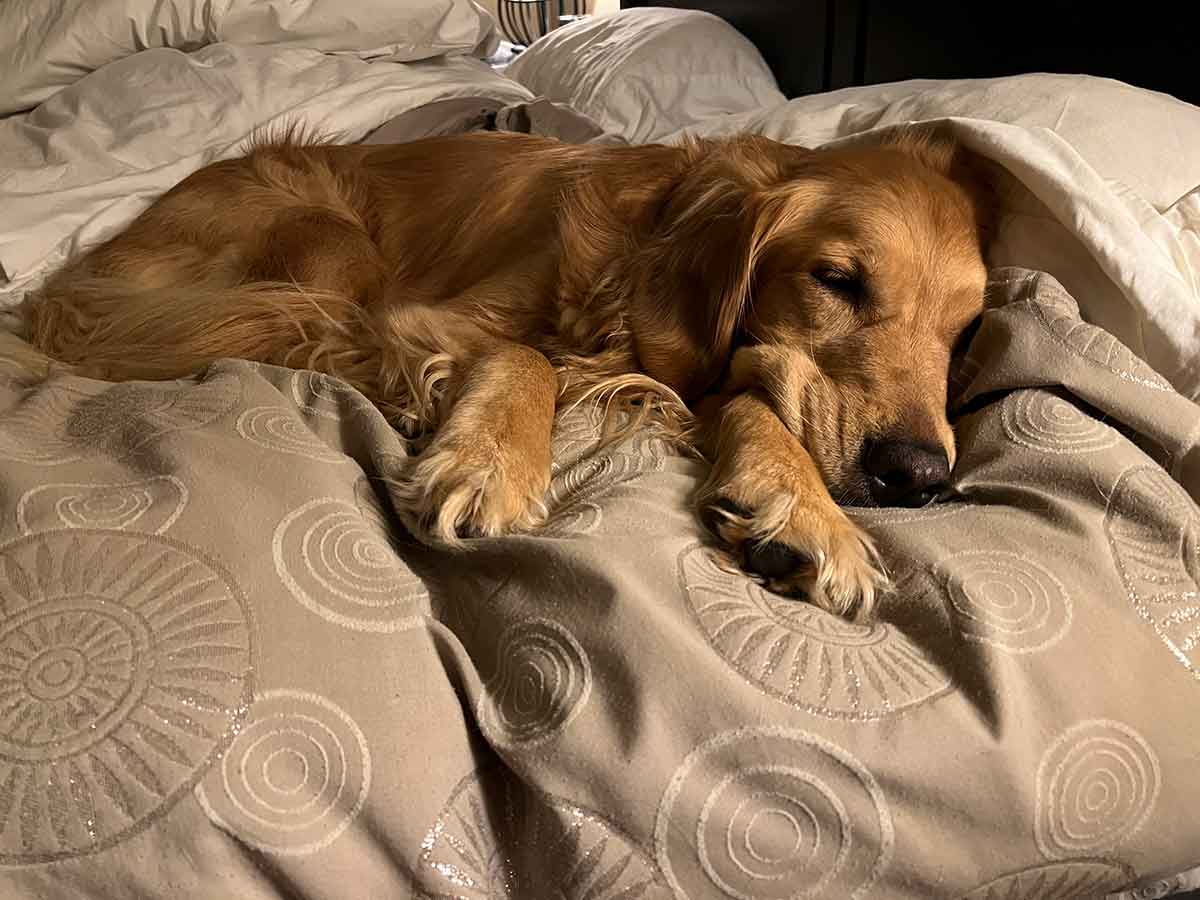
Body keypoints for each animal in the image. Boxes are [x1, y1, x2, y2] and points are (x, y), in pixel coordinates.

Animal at [21, 127, 993, 619]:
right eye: (836, 280)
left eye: (965, 330)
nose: (918, 477)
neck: (649, 238)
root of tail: (78, 278)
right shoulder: (424, 318)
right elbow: (527, 355)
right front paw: (491, 459)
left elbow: (751, 394)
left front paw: (804, 512)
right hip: (326, 247)